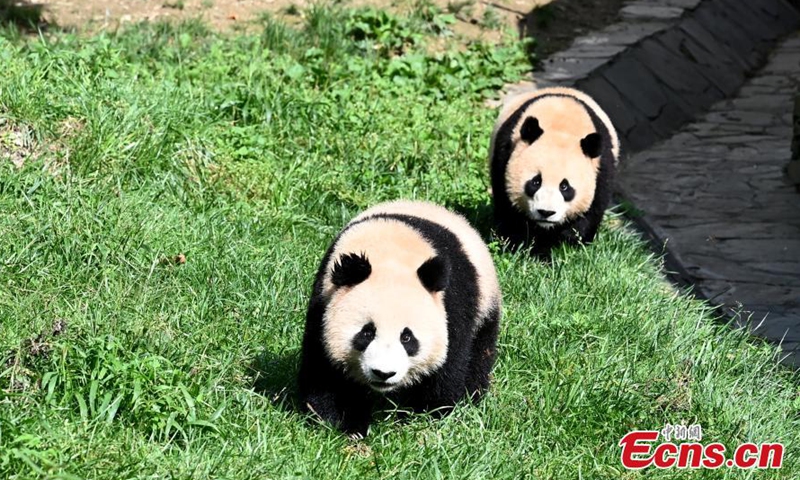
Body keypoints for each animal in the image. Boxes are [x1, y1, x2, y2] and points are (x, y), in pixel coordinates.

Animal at [298, 200, 502, 436]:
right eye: (367, 333)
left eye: (407, 337)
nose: (383, 373)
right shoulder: (323, 300)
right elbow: (324, 370)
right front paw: (344, 423)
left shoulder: (453, 304)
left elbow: (448, 364)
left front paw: (425, 416)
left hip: (486, 304)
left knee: (480, 351)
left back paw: (472, 396)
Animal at [488, 86, 620, 258]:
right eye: (536, 181)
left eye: (565, 187)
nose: (546, 212)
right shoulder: (504, 154)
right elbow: (509, 210)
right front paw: (525, 246)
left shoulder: (601, 169)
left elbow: (590, 213)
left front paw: (566, 246)